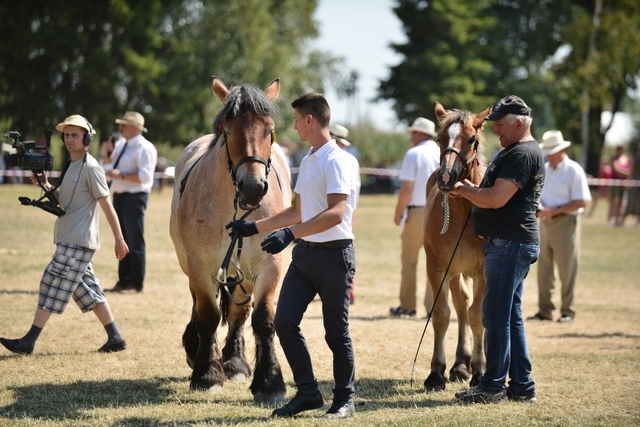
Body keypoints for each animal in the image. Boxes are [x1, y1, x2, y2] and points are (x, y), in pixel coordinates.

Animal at [169, 77, 292, 404]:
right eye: (227, 130)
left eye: (269, 130)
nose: (253, 187)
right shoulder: (200, 267)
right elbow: (207, 315)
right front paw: (207, 374)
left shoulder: (269, 265)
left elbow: (263, 319)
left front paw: (269, 382)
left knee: (239, 312)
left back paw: (235, 362)